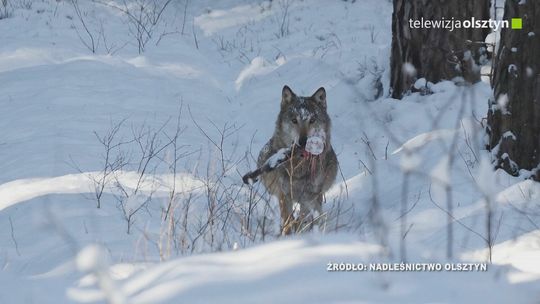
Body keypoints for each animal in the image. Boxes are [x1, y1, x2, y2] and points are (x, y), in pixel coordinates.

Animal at [258, 85, 338, 235]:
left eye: (312, 120)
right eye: (294, 121)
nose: (303, 141)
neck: (300, 166)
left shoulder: (310, 196)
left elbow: (303, 218)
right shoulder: (284, 195)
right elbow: (288, 221)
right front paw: (289, 236)